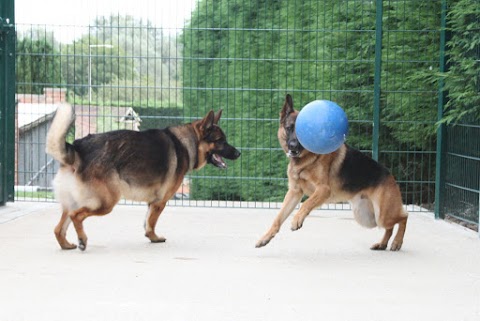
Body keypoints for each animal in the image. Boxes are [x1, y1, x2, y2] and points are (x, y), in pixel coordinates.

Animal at [46, 105, 240, 250]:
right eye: (221, 141)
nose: (239, 153)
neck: (187, 143)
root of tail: (79, 148)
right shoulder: (160, 202)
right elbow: (152, 222)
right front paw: (154, 238)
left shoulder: (152, 202)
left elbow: (147, 222)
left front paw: (151, 236)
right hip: (105, 202)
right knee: (76, 216)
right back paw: (82, 240)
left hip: (74, 202)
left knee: (58, 228)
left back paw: (67, 245)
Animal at [256, 95, 406, 250]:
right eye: (288, 128)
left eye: (302, 131)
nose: (292, 146)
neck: (307, 160)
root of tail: (390, 175)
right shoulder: (294, 192)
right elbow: (278, 217)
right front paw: (265, 238)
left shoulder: (323, 190)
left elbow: (306, 204)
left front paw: (297, 219)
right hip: (368, 218)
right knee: (390, 226)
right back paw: (383, 244)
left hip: (382, 215)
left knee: (403, 217)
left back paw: (397, 242)